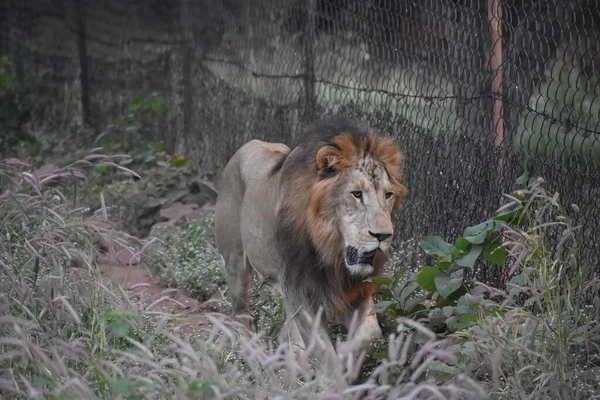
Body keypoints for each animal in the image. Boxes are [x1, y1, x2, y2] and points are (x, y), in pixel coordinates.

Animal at [216, 116, 408, 356]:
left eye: (388, 195)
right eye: (356, 194)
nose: (383, 235)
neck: (329, 249)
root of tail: (246, 145)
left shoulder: (354, 289)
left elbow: (370, 333)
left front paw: (345, 354)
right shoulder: (299, 290)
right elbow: (322, 350)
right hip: (236, 263)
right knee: (241, 314)